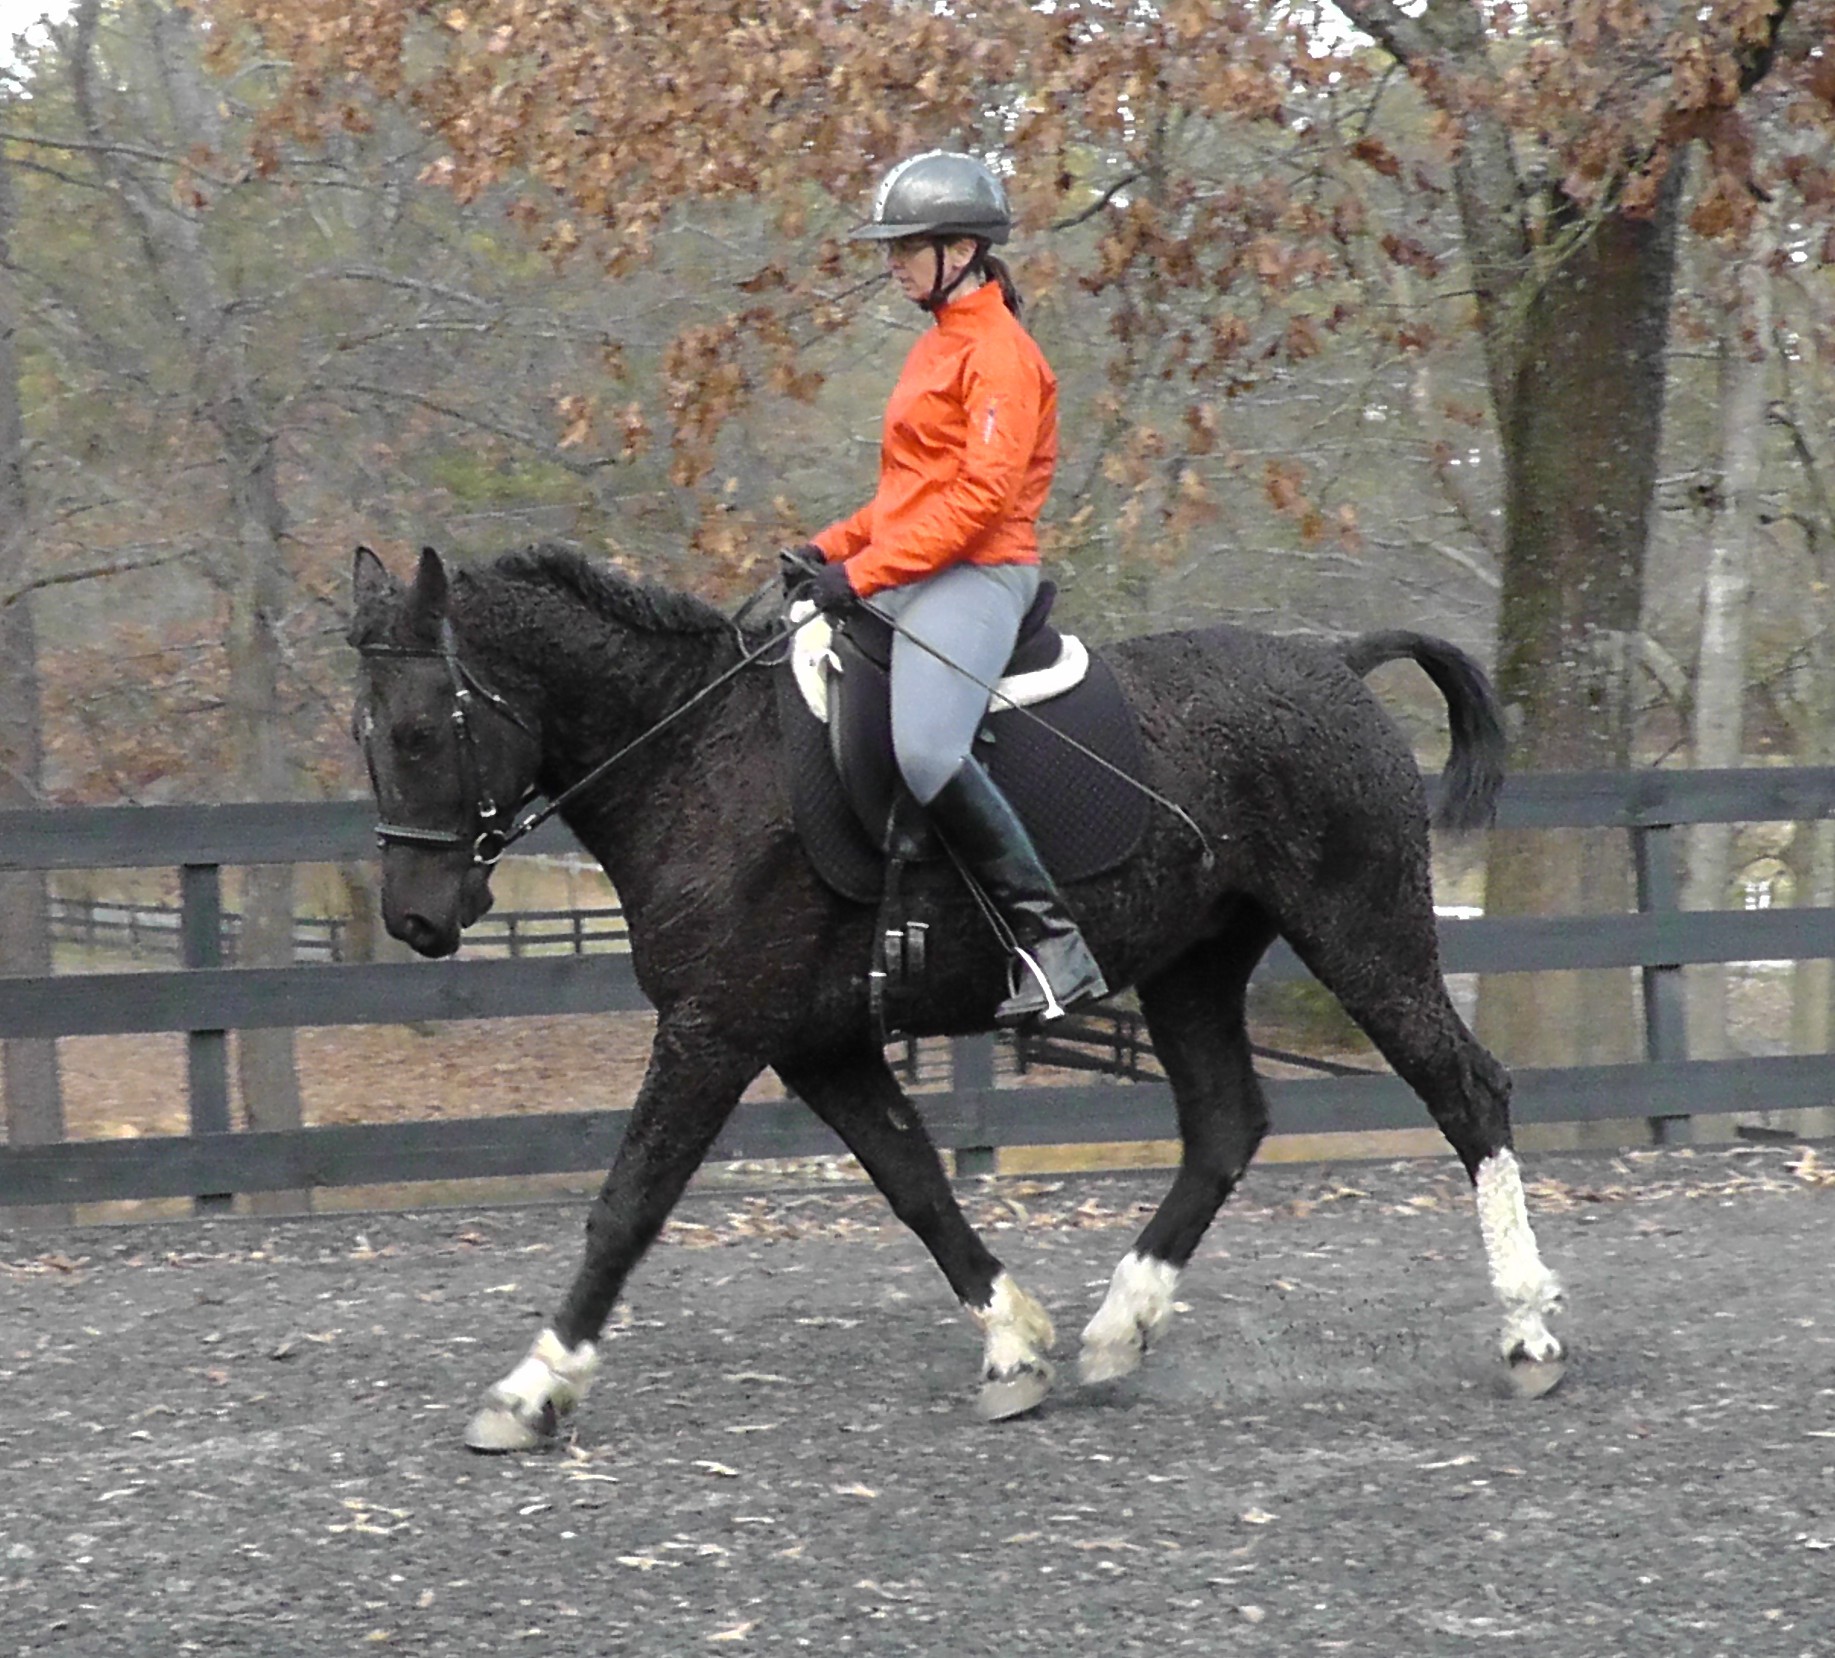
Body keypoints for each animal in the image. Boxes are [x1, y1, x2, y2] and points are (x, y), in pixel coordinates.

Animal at [348, 541, 1566, 1451]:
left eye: (418, 730)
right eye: (366, 737)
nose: (415, 918)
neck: (693, 756)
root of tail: (1339, 667)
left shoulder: (714, 1029)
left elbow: (627, 1204)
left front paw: (532, 1388)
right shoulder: (816, 1042)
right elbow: (916, 1183)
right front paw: (1016, 1343)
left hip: (1361, 931)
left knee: (1464, 1090)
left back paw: (1526, 1330)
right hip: (1190, 966)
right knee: (1225, 1123)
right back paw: (1117, 1329)